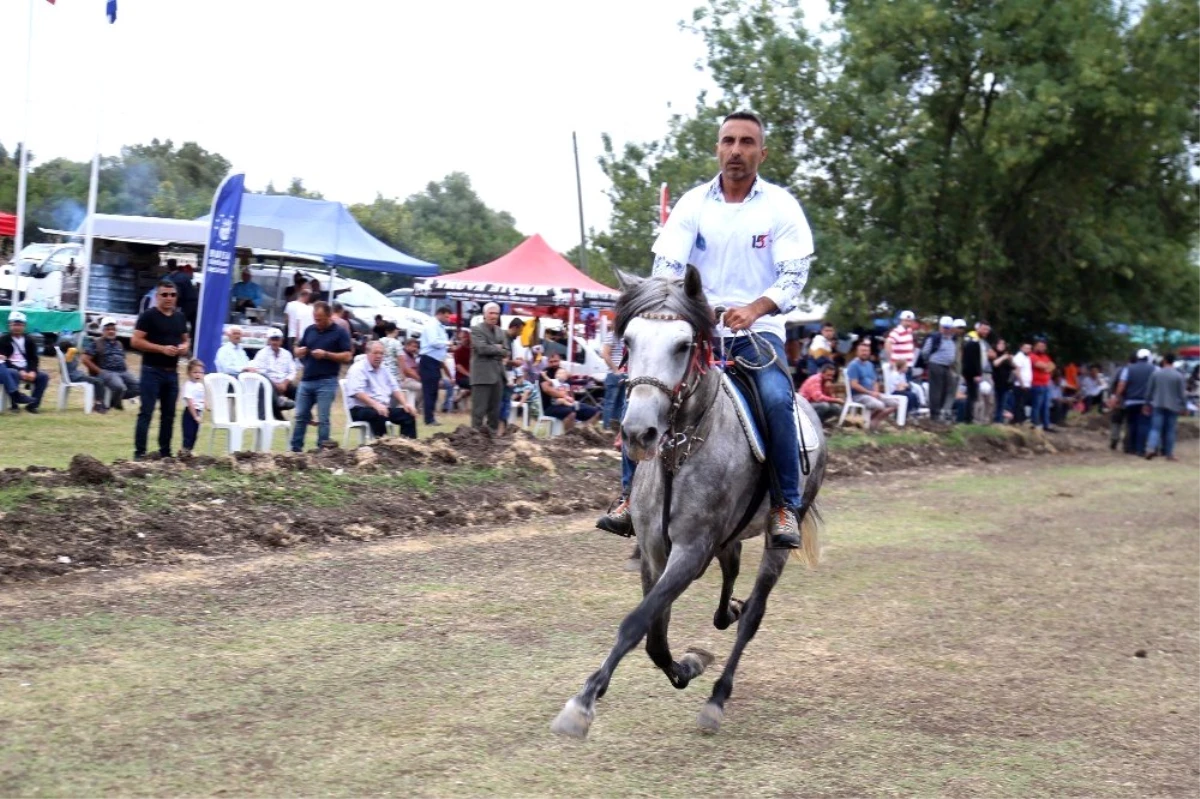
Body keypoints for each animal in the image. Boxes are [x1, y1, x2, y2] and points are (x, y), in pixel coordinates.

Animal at [549, 266, 825, 734]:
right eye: (630, 341)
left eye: (682, 345)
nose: (639, 432)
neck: (678, 455)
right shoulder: (654, 551)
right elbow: (654, 636)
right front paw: (687, 664)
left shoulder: (691, 550)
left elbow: (637, 622)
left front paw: (582, 703)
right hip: (728, 538)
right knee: (731, 575)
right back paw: (728, 611)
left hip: (776, 539)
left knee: (754, 615)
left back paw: (718, 696)